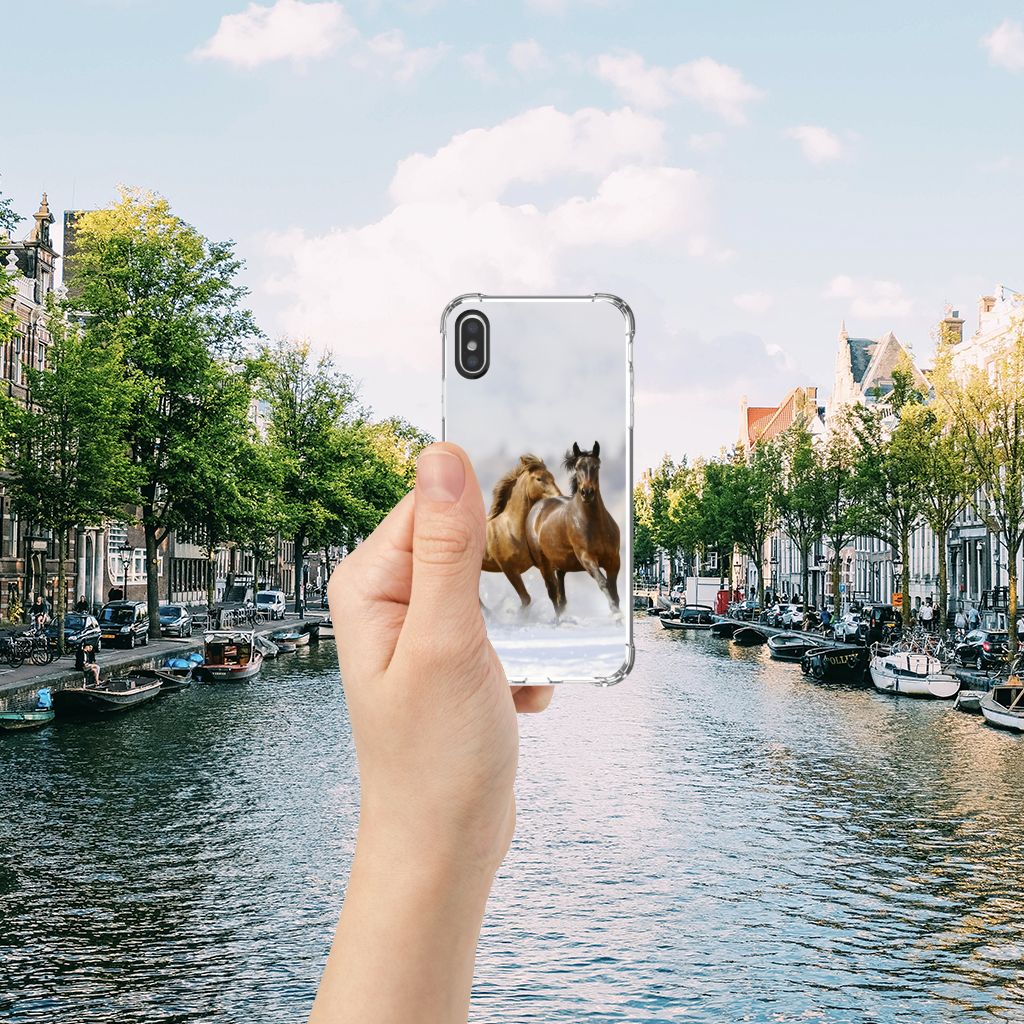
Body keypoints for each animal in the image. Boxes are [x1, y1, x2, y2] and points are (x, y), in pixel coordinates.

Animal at [482, 454, 562, 609]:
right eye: (539, 479)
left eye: (552, 477)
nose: (558, 496)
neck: (511, 529)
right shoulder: (509, 569)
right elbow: (526, 599)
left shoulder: (544, 565)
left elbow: (555, 593)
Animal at [526, 441, 620, 617]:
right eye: (577, 467)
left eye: (596, 466)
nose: (587, 492)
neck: (595, 524)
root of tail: (537, 507)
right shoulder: (586, 557)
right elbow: (603, 583)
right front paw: (616, 614)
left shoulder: (614, 561)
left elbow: (614, 591)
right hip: (544, 564)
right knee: (553, 594)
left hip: (560, 565)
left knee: (561, 598)